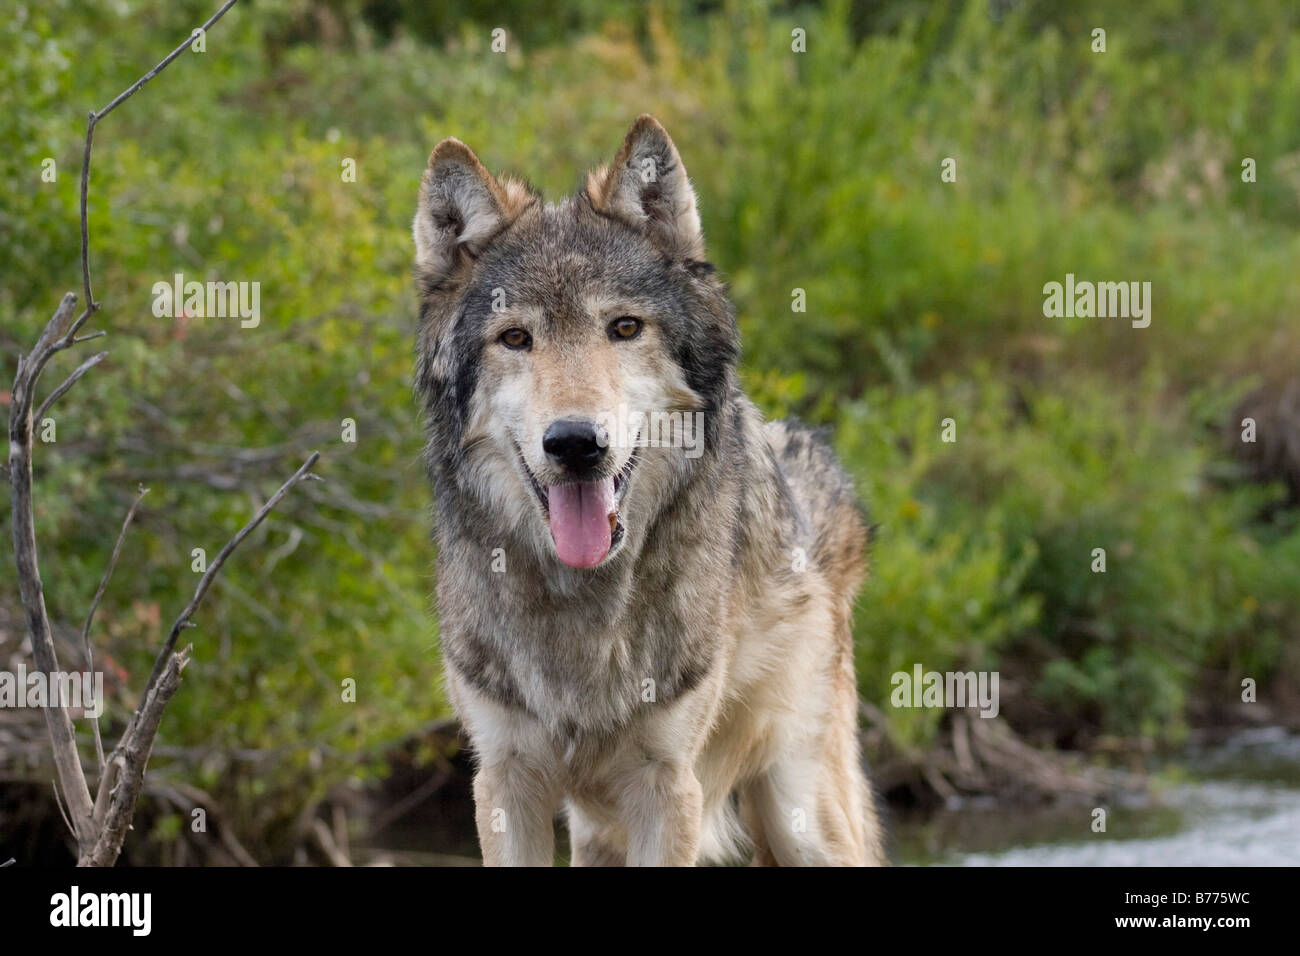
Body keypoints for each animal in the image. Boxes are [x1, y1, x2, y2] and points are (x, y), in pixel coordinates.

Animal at [412, 115, 884, 866]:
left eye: (625, 328)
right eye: (514, 337)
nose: (576, 443)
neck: (583, 604)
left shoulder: (667, 788)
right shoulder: (504, 781)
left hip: (801, 818)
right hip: (599, 833)